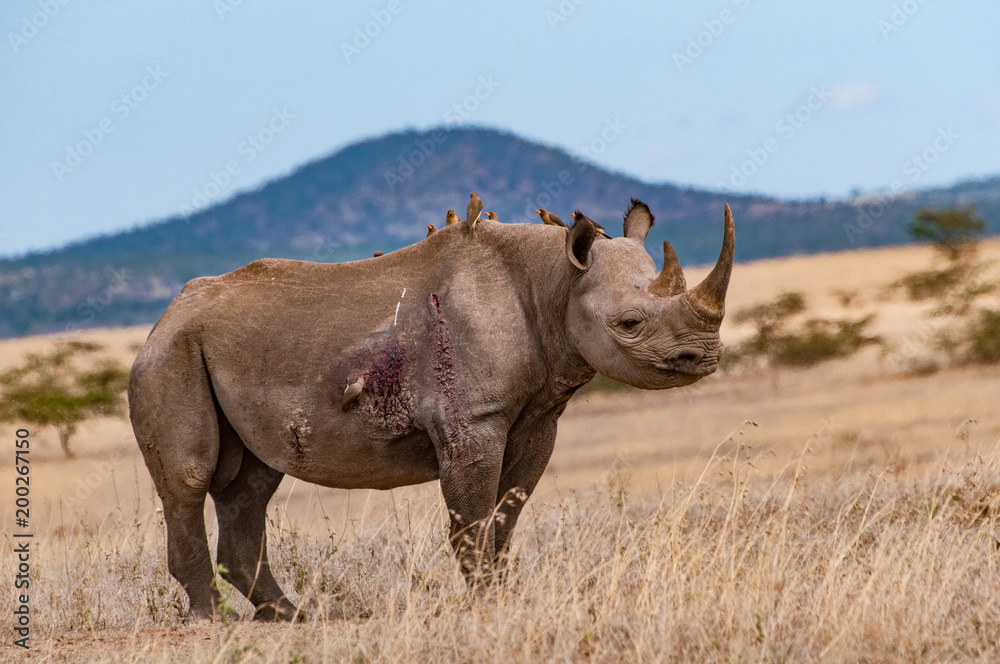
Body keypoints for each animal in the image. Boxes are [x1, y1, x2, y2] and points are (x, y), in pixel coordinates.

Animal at [128, 199, 735, 621]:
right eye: (629, 323)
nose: (704, 356)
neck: (555, 281)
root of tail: (164, 316)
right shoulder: (473, 421)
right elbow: (472, 519)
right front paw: (484, 603)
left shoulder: (538, 418)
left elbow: (505, 515)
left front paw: (501, 596)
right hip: (170, 354)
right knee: (190, 478)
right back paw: (213, 622)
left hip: (222, 350)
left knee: (254, 481)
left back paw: (293, 617)